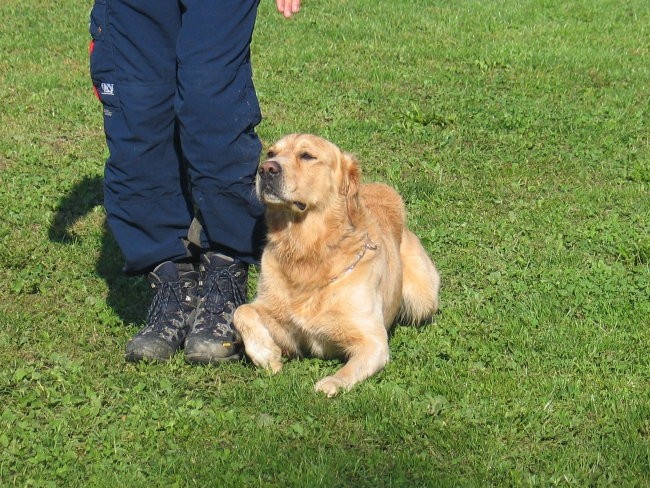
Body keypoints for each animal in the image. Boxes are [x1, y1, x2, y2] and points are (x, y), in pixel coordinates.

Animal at [230, 133, 438, 396]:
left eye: (307, 155)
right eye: (271, 153)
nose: (266, 169)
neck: (307, 249)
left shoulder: (373, 340)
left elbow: (350, 368)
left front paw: (331, 382)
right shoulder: (287, 330)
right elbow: (242, 311)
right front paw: (266, 354)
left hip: (422, 298)